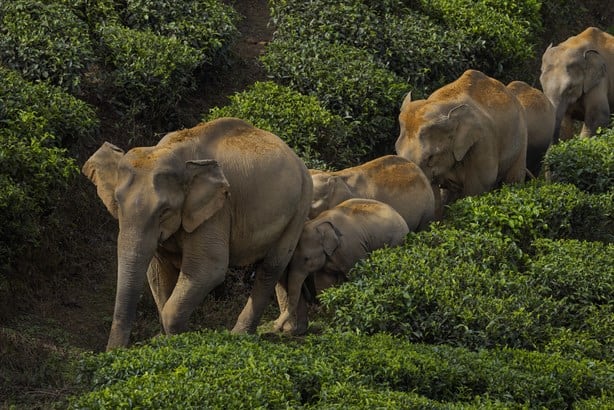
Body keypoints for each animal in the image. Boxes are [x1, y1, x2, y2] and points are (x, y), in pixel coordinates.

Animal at [82, 117, 312, 350]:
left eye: (164, 211)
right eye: (117, 203)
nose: (113, 353)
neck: (168, 150)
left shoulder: (217, 210)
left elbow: (209, 268)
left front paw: (181, 339)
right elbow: (157, 271)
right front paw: (165, 340)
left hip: (300, 206)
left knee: (271, 267)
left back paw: (239, 335)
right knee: (281, 270)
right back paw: (293, 329)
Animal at [276, 197, 412, 334]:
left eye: (306, 259)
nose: (275, 325)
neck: (318, 222)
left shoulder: (352, 249)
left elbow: (357, 277)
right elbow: (324, 284)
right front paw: (332, 325)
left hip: (397, 241)